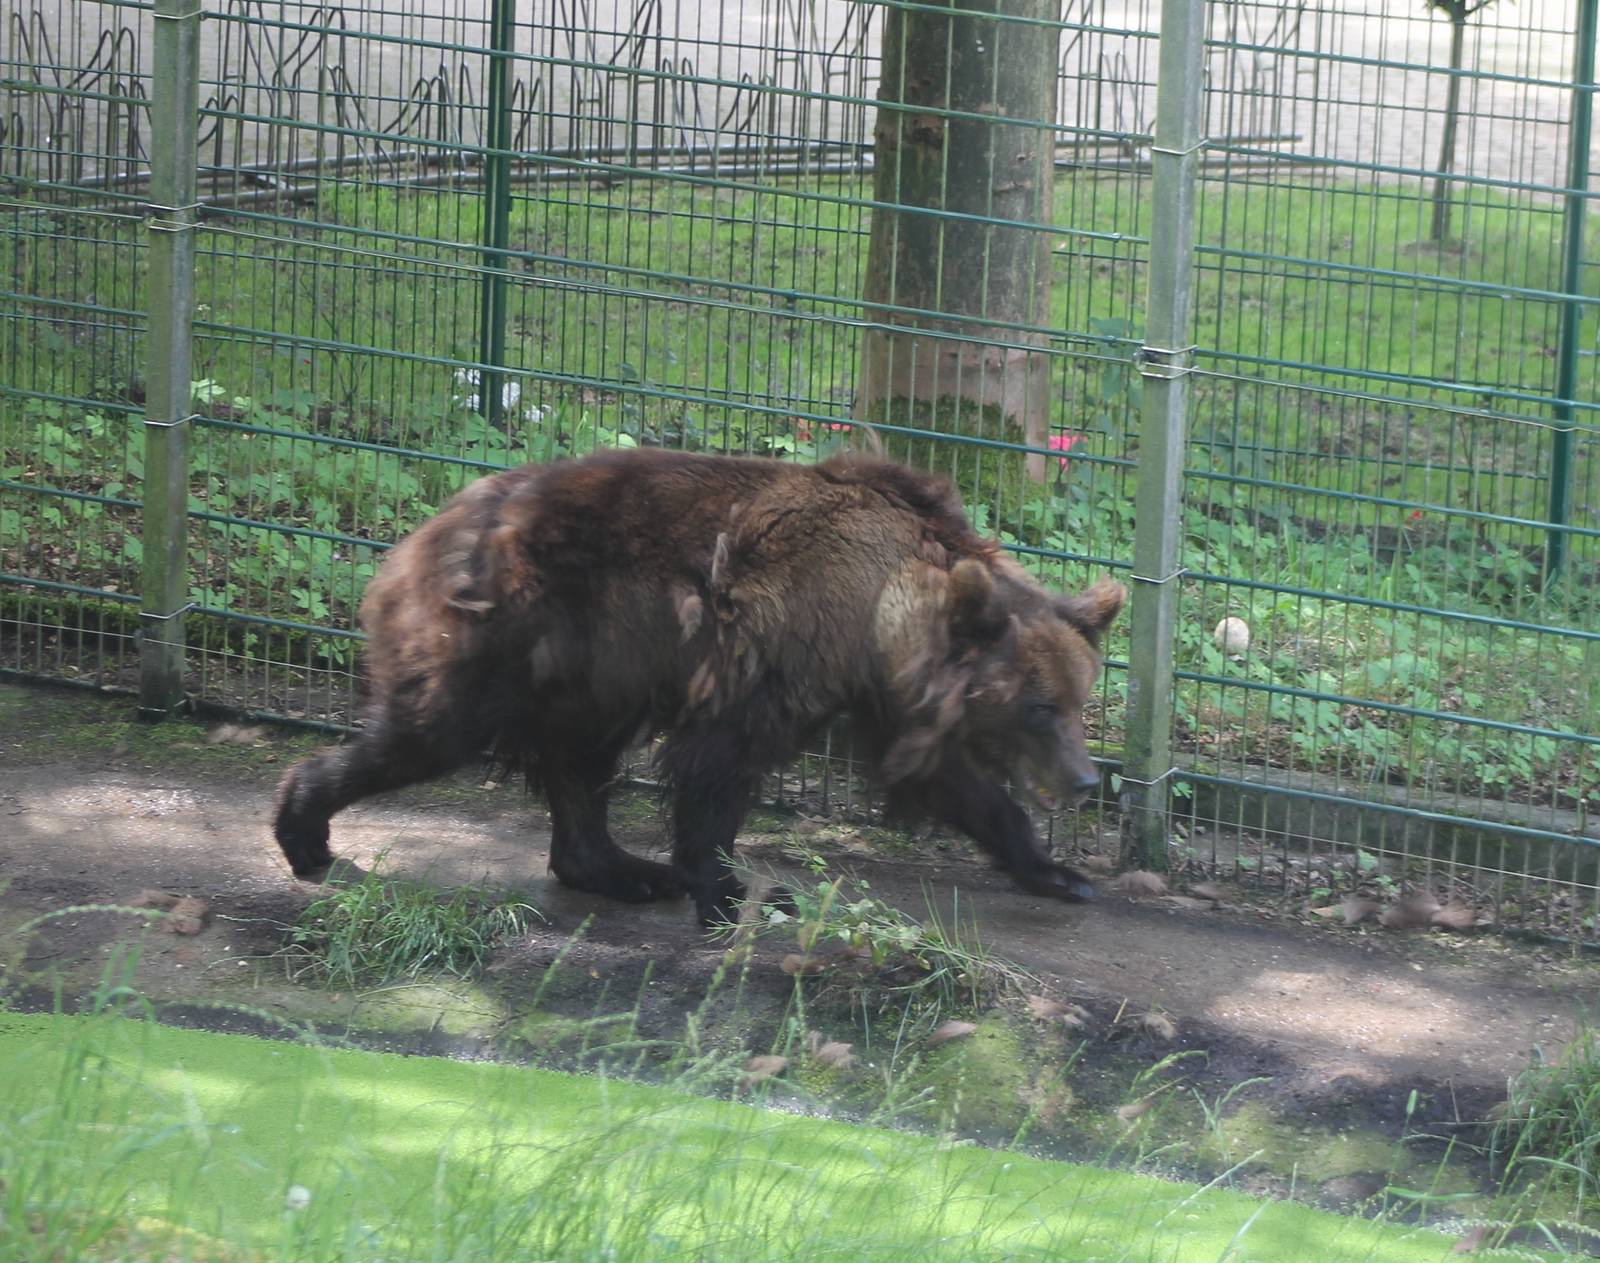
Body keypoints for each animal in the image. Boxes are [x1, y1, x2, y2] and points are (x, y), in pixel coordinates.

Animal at [273, 446, 1125, 928]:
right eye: (1038, 706)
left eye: (1079, 701)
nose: (1086, 779)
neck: (882, 610)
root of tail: (418, 536)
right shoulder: (779, 651)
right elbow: (720, 767)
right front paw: (726, 888)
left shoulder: (879, 694)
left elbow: (959, 786)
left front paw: (1059, 872)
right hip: (518, 630)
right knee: (431, 729)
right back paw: (304, 829)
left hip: (588, 669)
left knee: (580, 762)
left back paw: (621, 868)